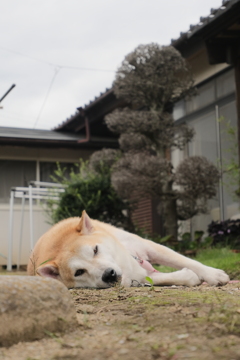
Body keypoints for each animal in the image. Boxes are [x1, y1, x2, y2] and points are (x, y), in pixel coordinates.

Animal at [27, 210, 230, 288]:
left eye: (95, 250)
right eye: (79, 272)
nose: (108, 275)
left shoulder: (148, 247)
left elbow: (186, 260)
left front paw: (212, 274)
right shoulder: (137, 275)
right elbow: (157, 277)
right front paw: (188, 277)